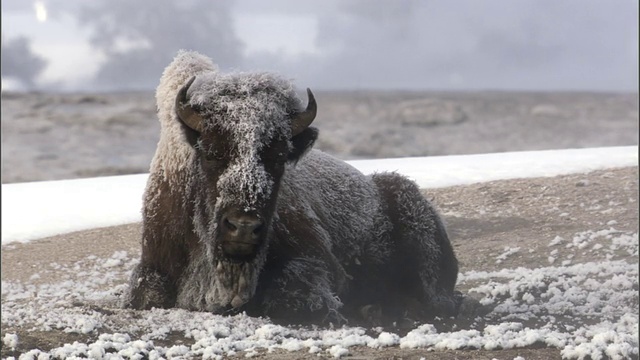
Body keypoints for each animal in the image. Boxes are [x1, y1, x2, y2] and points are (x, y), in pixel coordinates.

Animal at [121, 49, 460, 324]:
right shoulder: (154, 263)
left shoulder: (316, 261)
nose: (243, 226)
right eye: (211, 152)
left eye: (279, 156)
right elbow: (146, 294)